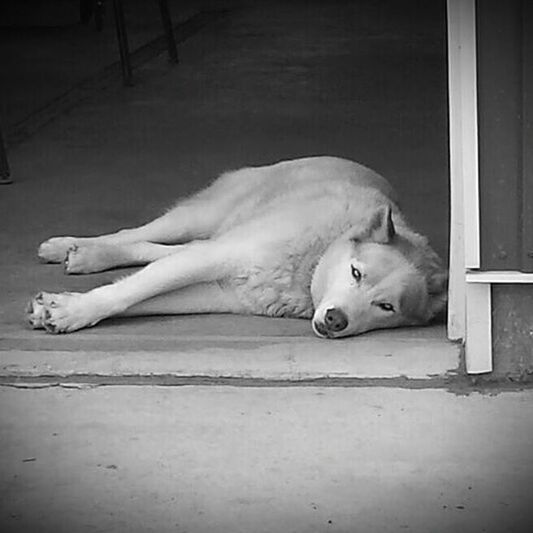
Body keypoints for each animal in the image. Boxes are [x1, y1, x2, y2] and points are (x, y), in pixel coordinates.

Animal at [26, 156, 444, 336]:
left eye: (386, 307)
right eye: (356, 273)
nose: (335, 321)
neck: (313, 260)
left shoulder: (221, 291)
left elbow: (140, 297)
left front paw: (61, 308)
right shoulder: (216, 258)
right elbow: (126, 294)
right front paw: (74, 311)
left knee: (170, 248)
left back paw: (87, 256)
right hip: (202, 216)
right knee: (140, 232)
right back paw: (70, 246)